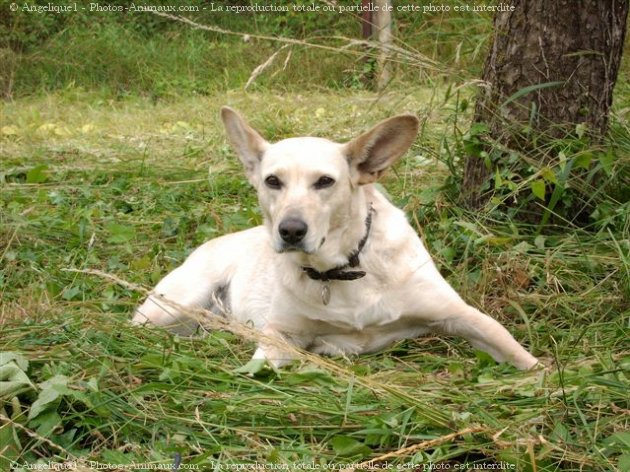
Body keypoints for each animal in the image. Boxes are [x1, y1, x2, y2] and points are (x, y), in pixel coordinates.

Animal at [132, 107, 540, 368]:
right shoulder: (282, 335)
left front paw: (546, 383)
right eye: (272, 181)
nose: (291, 230)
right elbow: (259, 368)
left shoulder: (457, 313)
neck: (342, 268)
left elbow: (512, 347)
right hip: (171, 307)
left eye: (324, 182)